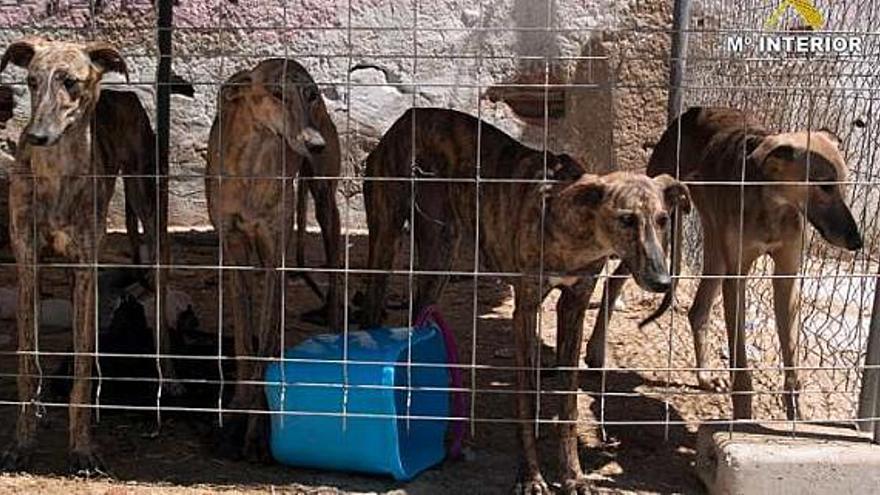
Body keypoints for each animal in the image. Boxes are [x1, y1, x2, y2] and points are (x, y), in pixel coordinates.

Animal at [360, 106, 692, 494]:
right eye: (626, 219)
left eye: (663, 220)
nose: (662, 281)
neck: (575, 233)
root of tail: (406, 117)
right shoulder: (526, 308)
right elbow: (525, 394)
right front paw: (530, 477)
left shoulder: (574, 305)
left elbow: (568, 405)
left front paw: (573, 476)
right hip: (386, 235)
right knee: (370, 308)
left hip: (441, 251)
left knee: (418, 314)